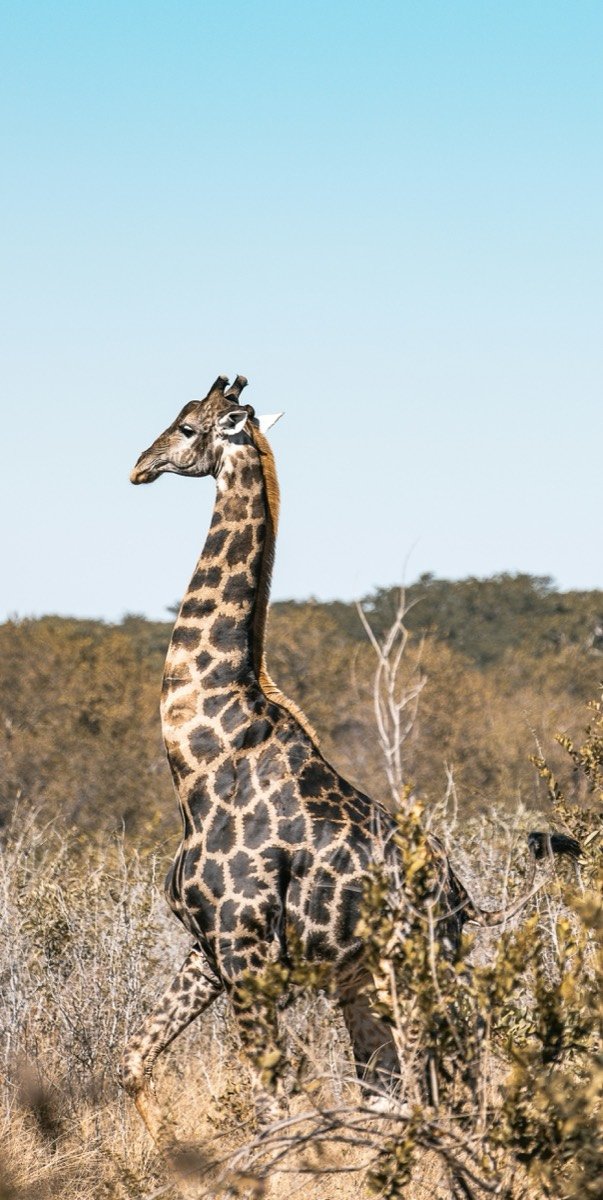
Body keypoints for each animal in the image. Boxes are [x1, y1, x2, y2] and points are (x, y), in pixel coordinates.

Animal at [120, 374, 555, 1145]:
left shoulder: (245, 951)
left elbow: (274, 1102)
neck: (199, 759)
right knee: (396, 1093)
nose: (139, 465)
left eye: (189, 427)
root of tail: (463, 901)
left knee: (449, 1079)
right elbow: (134, 1059)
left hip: (415, 978)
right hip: (362, 986)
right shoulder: (206, 948)